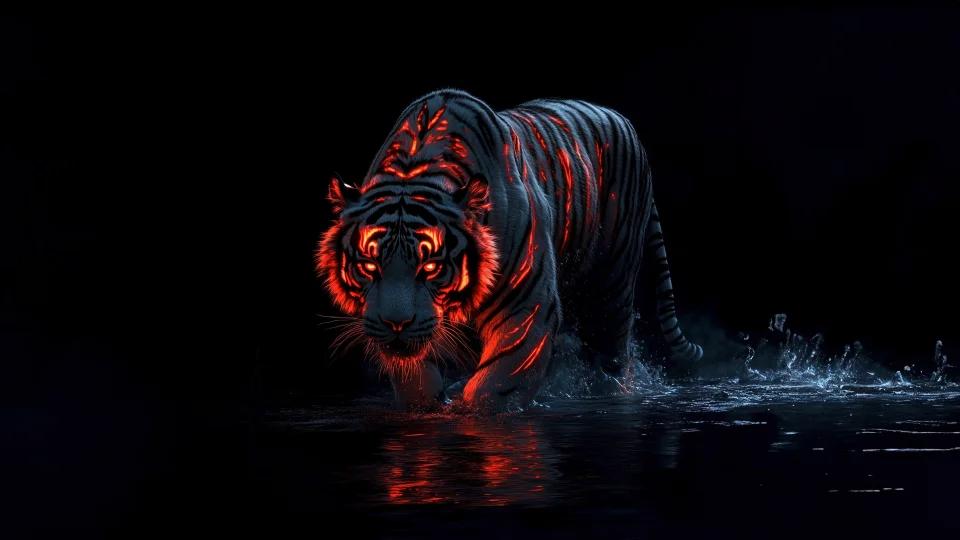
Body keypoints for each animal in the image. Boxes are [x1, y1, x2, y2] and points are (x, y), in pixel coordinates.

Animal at [317, 89, 703, 412]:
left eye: (430, 268)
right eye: (370, 266)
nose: (396, 324)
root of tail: (624, 122)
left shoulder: (527, 305)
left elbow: (499, 383)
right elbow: (414, 377)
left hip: (611, 286)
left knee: (610, 355)